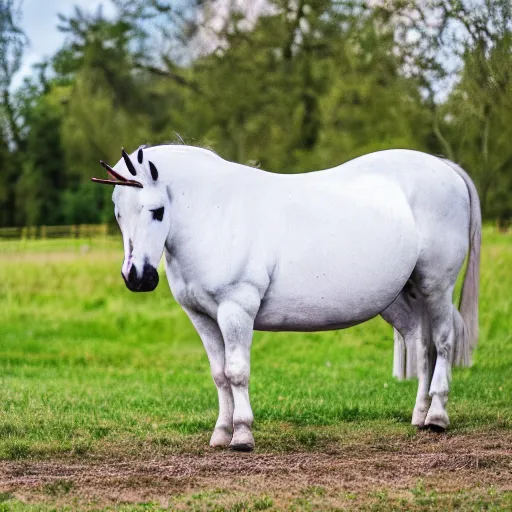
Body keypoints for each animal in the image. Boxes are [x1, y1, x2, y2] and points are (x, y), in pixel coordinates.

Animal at [92, 145, 480, 452]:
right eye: (118, 212)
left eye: (156, 211)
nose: (138, 277)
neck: (215, 213)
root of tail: (446, 168)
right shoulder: (201, 317)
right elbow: (219, 374)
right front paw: (221, 432)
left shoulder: (236, 311)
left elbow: (236, 372)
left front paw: (242, 435)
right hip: (400, 298)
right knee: (421, 343)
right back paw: (419, 415)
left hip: (436, 287)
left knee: (442, 341)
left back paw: (437, 415)